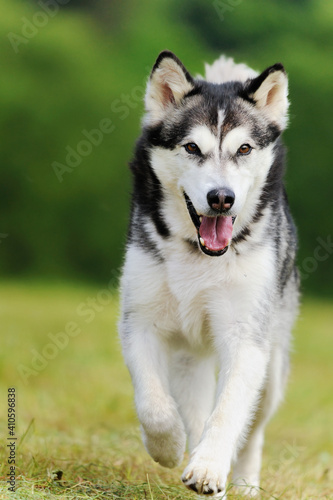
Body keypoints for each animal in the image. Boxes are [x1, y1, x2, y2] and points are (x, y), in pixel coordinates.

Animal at [118, 50, 298, 496]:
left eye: (245, 148)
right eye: (192, 147)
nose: (221, 198)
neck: (201, 258)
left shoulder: (246, 338)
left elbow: (229, 412)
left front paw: (209, 467)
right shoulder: (138, 322)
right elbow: (153, 403)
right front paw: (167, 446)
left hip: (273, 366)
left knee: (253, 429)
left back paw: (244, 482)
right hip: (189, 356)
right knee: (193, 404)